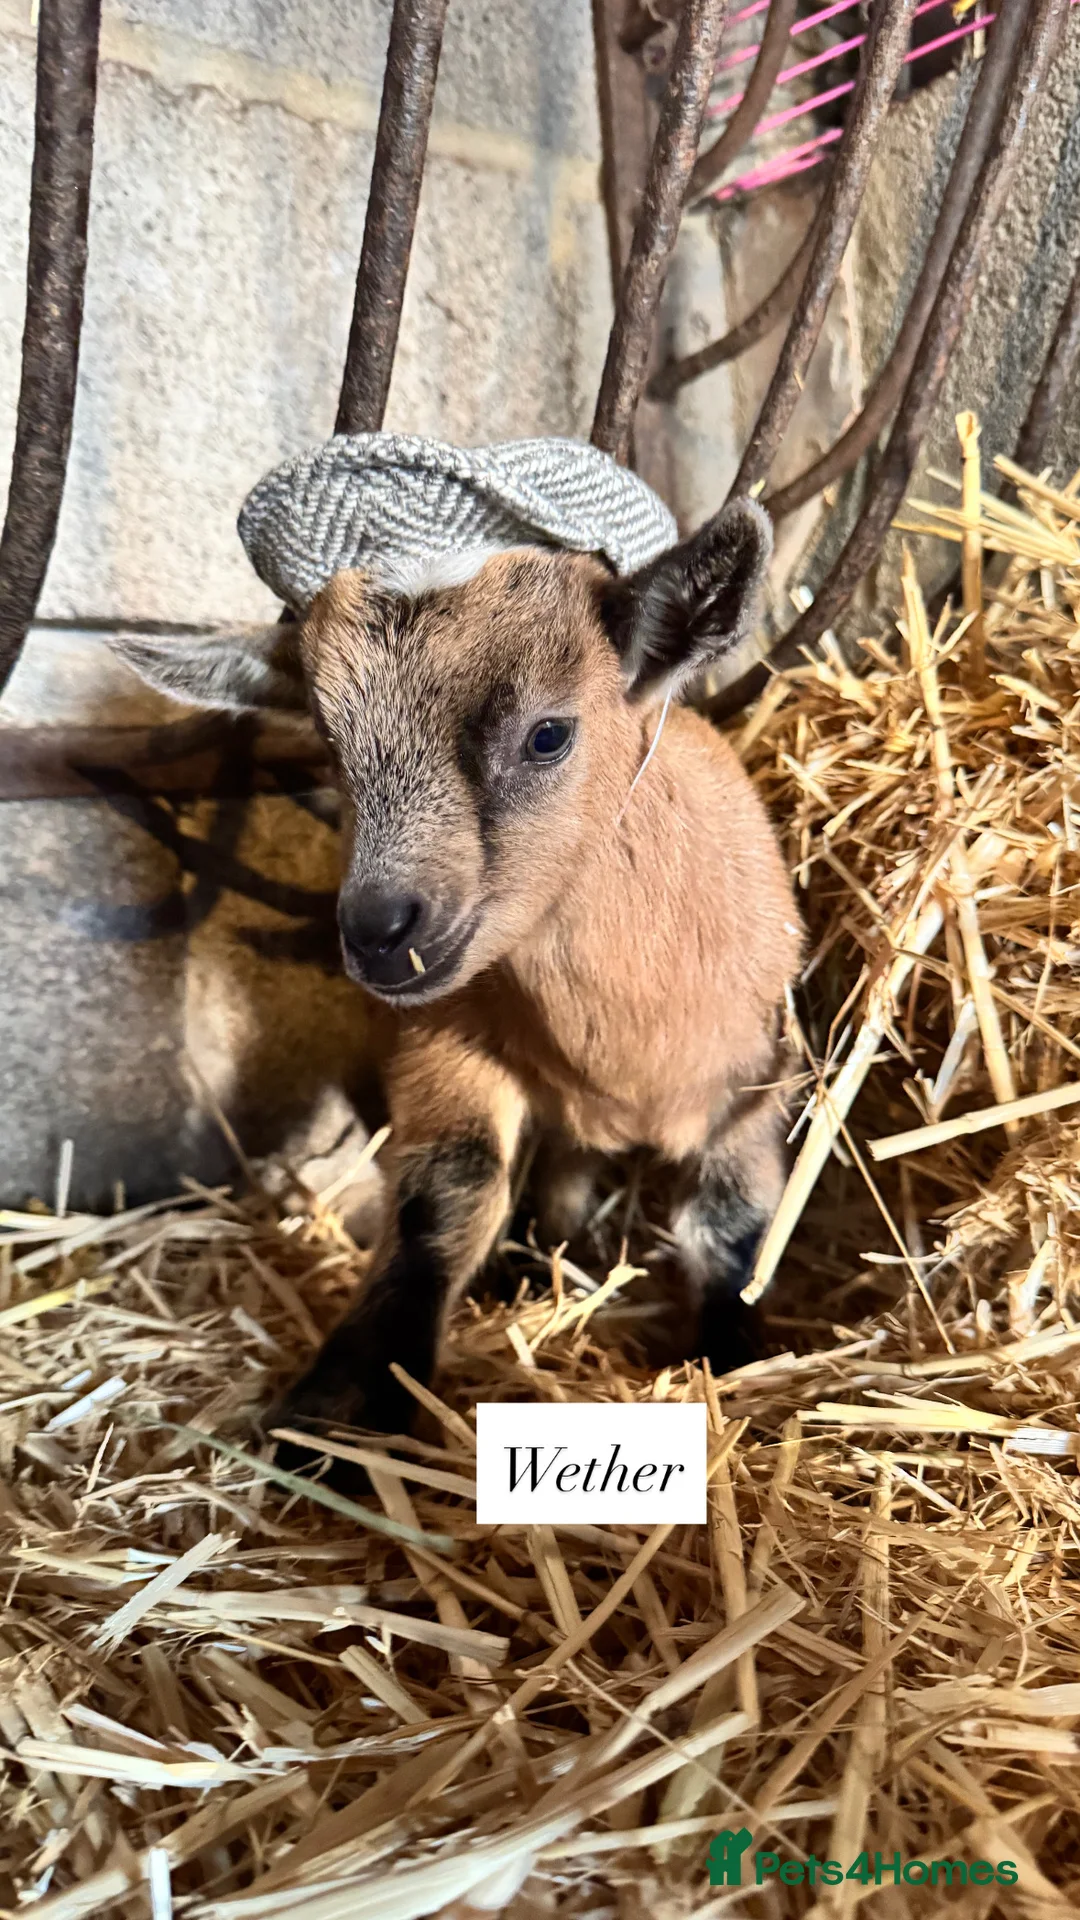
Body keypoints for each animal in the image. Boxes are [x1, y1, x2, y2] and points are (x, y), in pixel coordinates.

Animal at [119, 499, 802, 1443]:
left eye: (548, 734)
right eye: (329, 745)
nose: (377, 932)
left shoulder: (753, 1082)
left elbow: (731, 1225)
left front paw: (735, 1360)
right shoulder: (446, 1038)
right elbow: (446, 1195)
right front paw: (340, 1406)